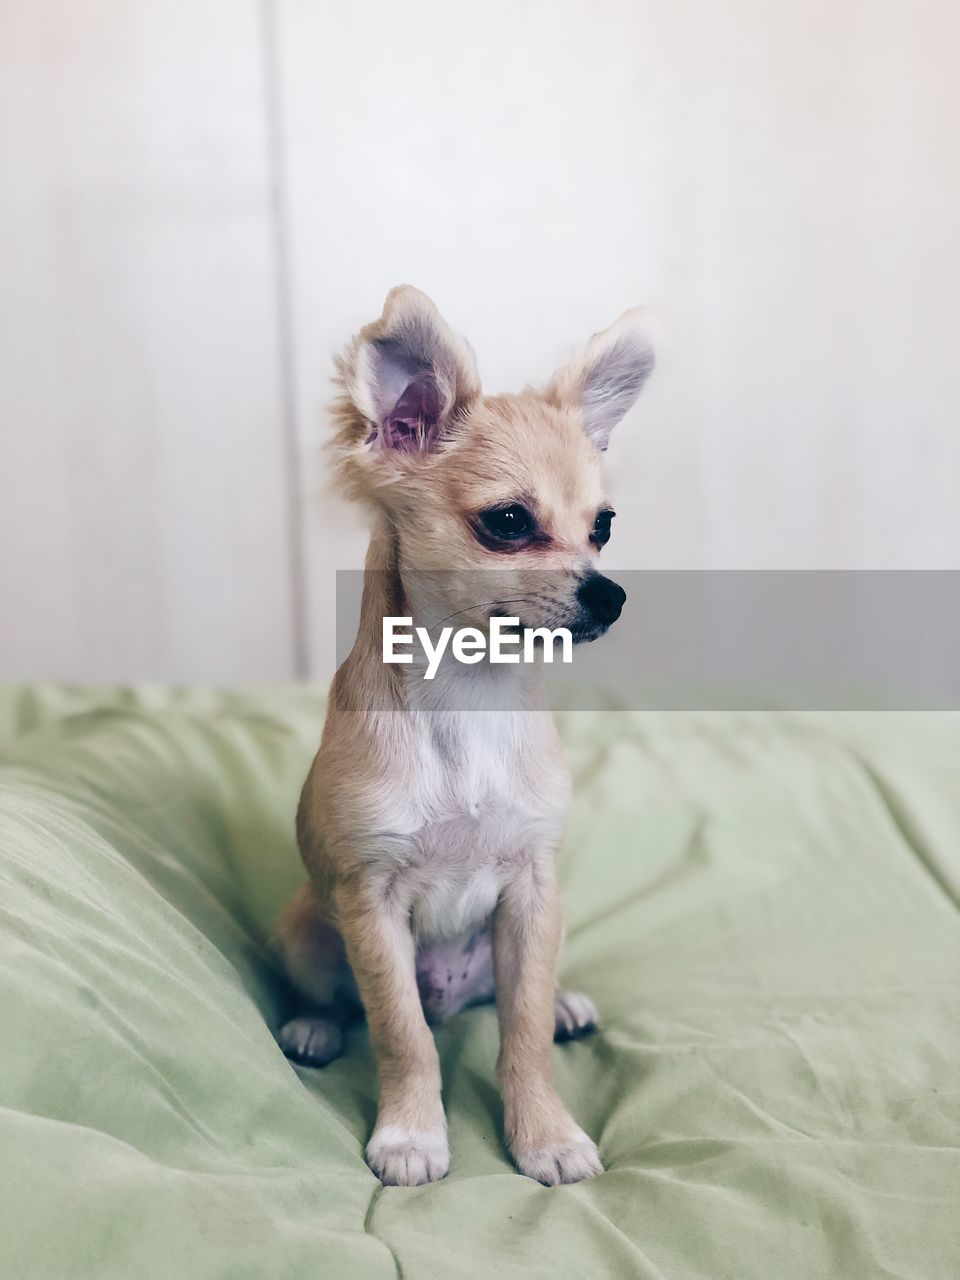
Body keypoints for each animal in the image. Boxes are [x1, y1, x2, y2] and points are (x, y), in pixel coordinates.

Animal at [276, 285, 655, 1182]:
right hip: (307, 925)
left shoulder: (532, 893)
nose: (611, 594)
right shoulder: (371, 904)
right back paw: (312, 1025)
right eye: (509, 522)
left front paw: (545, 1134)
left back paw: (565, 1002)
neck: (473, 701)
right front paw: (412, 1135)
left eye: (604, 526)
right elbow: (402, 1034)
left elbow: (521, 1037)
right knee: (340, 998)